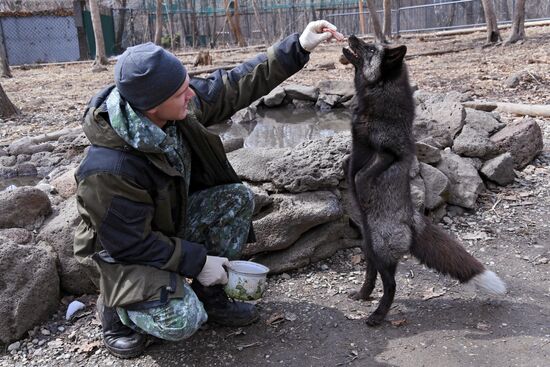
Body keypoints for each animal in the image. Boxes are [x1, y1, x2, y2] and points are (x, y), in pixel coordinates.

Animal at [344, 35, 508, 328]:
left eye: (370, 48)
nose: (351, 36)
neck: (374, 99)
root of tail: (413, 219)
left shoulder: (390, 153)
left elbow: (362, 175)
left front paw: (360, 189)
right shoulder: (359, 147)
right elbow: (349, 164)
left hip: (381, 251)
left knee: (392, 286)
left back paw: (377, 316)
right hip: (369, 248)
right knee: (372, 276)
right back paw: (363, 295)